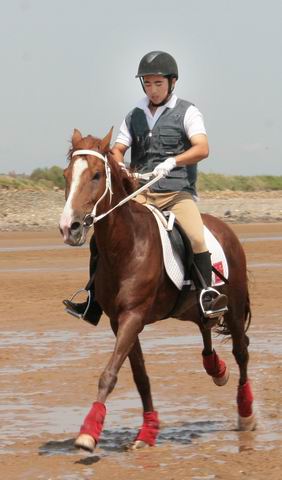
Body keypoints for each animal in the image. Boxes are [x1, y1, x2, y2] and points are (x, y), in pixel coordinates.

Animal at [59, 126, 256, 450]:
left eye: (97, 175)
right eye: (66, 175)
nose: (69, 227)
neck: (127, 245)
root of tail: (226, 230)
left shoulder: (133, 316)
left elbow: (109, 373)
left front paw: (88, 433)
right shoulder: (120, 321)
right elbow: (140, 376)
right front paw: (148, 430)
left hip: (235, 308)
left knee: (241, 352)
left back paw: (246, 412)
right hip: (193, 307)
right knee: (205, 328)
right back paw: (216, 369)